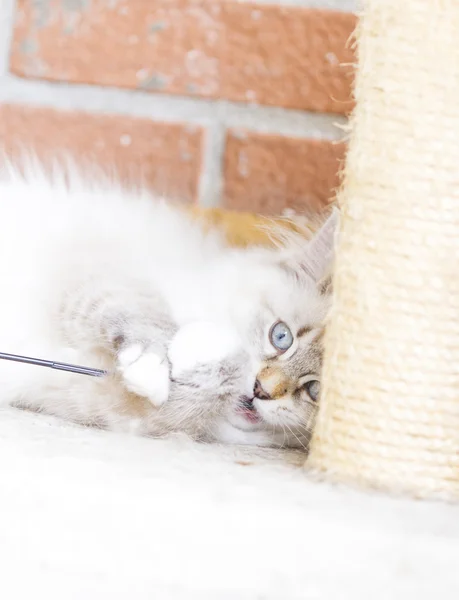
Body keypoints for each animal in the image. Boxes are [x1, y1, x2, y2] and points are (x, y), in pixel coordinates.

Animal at [0, 162, 338, 448]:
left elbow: (178, 408)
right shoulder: (99, 274)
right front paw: (164, 362)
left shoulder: (97, 400)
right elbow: (142, 320)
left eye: (315, 391)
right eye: (281, 337)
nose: (261, 389)